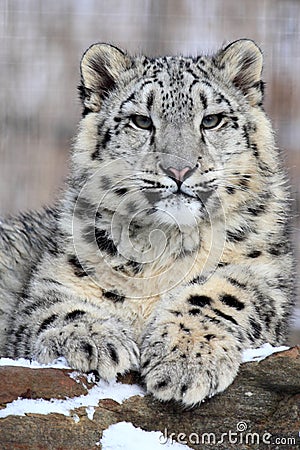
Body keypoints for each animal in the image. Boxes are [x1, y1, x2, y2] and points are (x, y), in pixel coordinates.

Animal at [0, 39, 296, 404]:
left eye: (211, 120)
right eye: (141, 121)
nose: (179, 169)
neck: (164, 244)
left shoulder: (264, 276)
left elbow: (220, 294)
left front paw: (186, 361)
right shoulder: (52, 282)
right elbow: (54, 308)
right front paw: (96, 340)